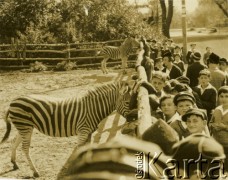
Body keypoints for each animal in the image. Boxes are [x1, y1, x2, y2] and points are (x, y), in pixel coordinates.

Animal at [0, 81, 131, 177]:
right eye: (128, 102)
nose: (133, 117)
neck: (93, 109)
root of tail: (13, 102)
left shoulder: (88, 133)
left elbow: (86, 149)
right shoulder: (83, 131)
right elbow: (79, 150)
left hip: (24, 126)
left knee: (15, 142)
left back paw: (14, 163)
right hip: (25, 126)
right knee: (25, 148)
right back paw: (35, 172)